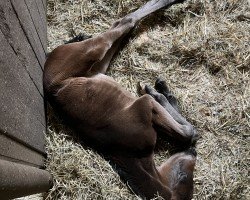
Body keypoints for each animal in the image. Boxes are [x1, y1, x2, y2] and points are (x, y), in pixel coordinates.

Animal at [43, 0, 199, 198]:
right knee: (125, 21)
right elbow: (189, 133)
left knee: (121, 26)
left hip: (96, 67)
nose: (193, 153)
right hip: (91, 51)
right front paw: (159, 93)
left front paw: (164, 92)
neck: (131, 154)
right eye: (184, 176)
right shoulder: (144, 106)